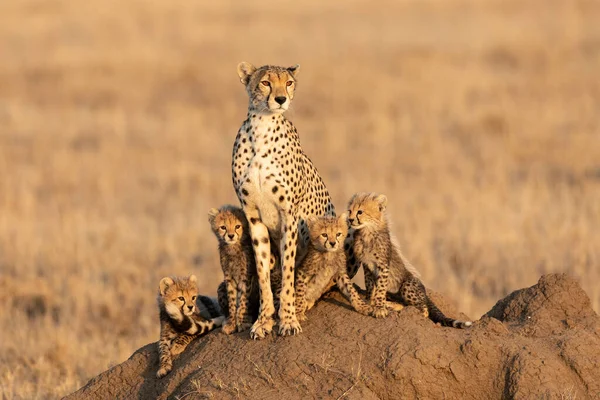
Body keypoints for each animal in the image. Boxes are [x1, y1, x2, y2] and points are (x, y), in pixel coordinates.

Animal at [231, 62, 336, 338]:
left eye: (288, 83)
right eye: (266, 82)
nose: (281, 99)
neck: (262, 128)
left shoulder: (289, 216)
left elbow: (289, 272)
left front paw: (287, 319)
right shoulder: (253, 216)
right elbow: (262, 271)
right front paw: (263, 320)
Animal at [350, 193, 472, 328]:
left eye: (360, 212)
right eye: (349, 211)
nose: (350, 220)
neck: (367, 231)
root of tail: (425, 293)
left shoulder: (383, 266)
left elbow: (380, 288)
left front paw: (379, 307)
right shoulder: (367, 265)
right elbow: (370, 285)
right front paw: (370, 301)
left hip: (407, 285)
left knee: (423, 309)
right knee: (405, 304)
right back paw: (392, 304)